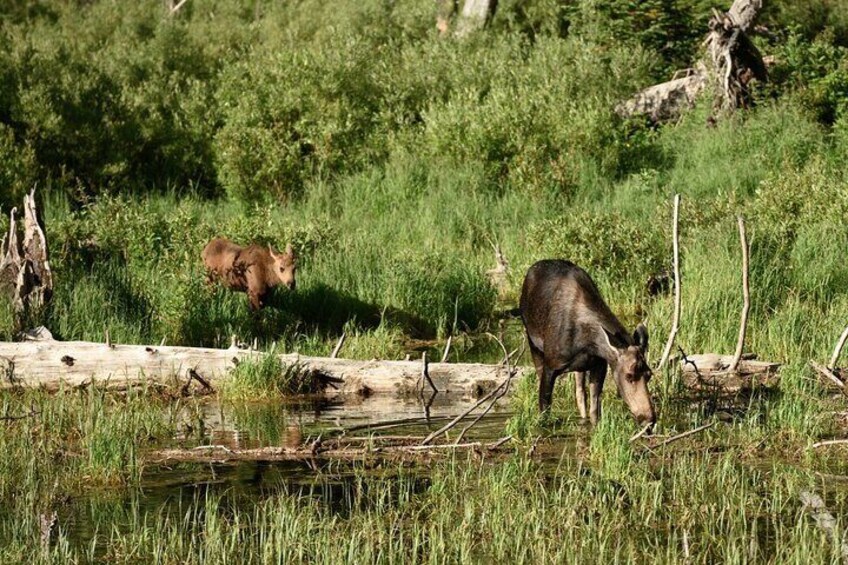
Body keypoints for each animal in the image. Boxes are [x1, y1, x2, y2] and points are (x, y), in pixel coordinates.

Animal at [516, 260, 656, 428]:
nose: (649, 419)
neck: (588, 344)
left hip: (580, 368)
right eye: (629, 376)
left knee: (580, 393)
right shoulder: (551, 366)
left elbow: (594, 411)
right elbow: (544, 410)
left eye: (649, 374)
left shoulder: (599, 365)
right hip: (533, 343)